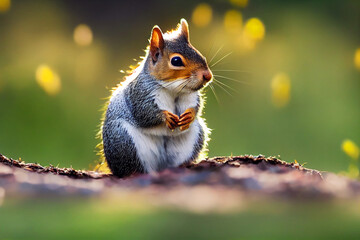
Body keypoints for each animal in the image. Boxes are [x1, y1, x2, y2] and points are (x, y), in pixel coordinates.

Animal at [98, 18, 212, 177]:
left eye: (200, 55)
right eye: (176, 61)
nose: (208, 76)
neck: (174, 90)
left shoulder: (191, 96)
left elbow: (197, 106)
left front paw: (190, 114)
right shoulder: (140, 93)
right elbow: (144, 112)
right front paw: (165, 116)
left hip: (195, 135)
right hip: (123, 140)